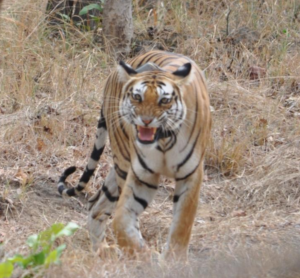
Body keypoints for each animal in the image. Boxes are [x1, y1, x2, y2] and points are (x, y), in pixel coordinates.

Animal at [58, 49, 211, 258]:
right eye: (137, 97)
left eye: (164, 100)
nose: (145, 120)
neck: (164, 140)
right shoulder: (141, 176)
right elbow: (122, 220)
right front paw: (143, 255)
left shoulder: (191, 175)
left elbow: (183, 224)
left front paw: (173, 259)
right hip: (122, 162)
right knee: (97, 205)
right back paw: (104, 251)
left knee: (95, 204)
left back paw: (102, 251)